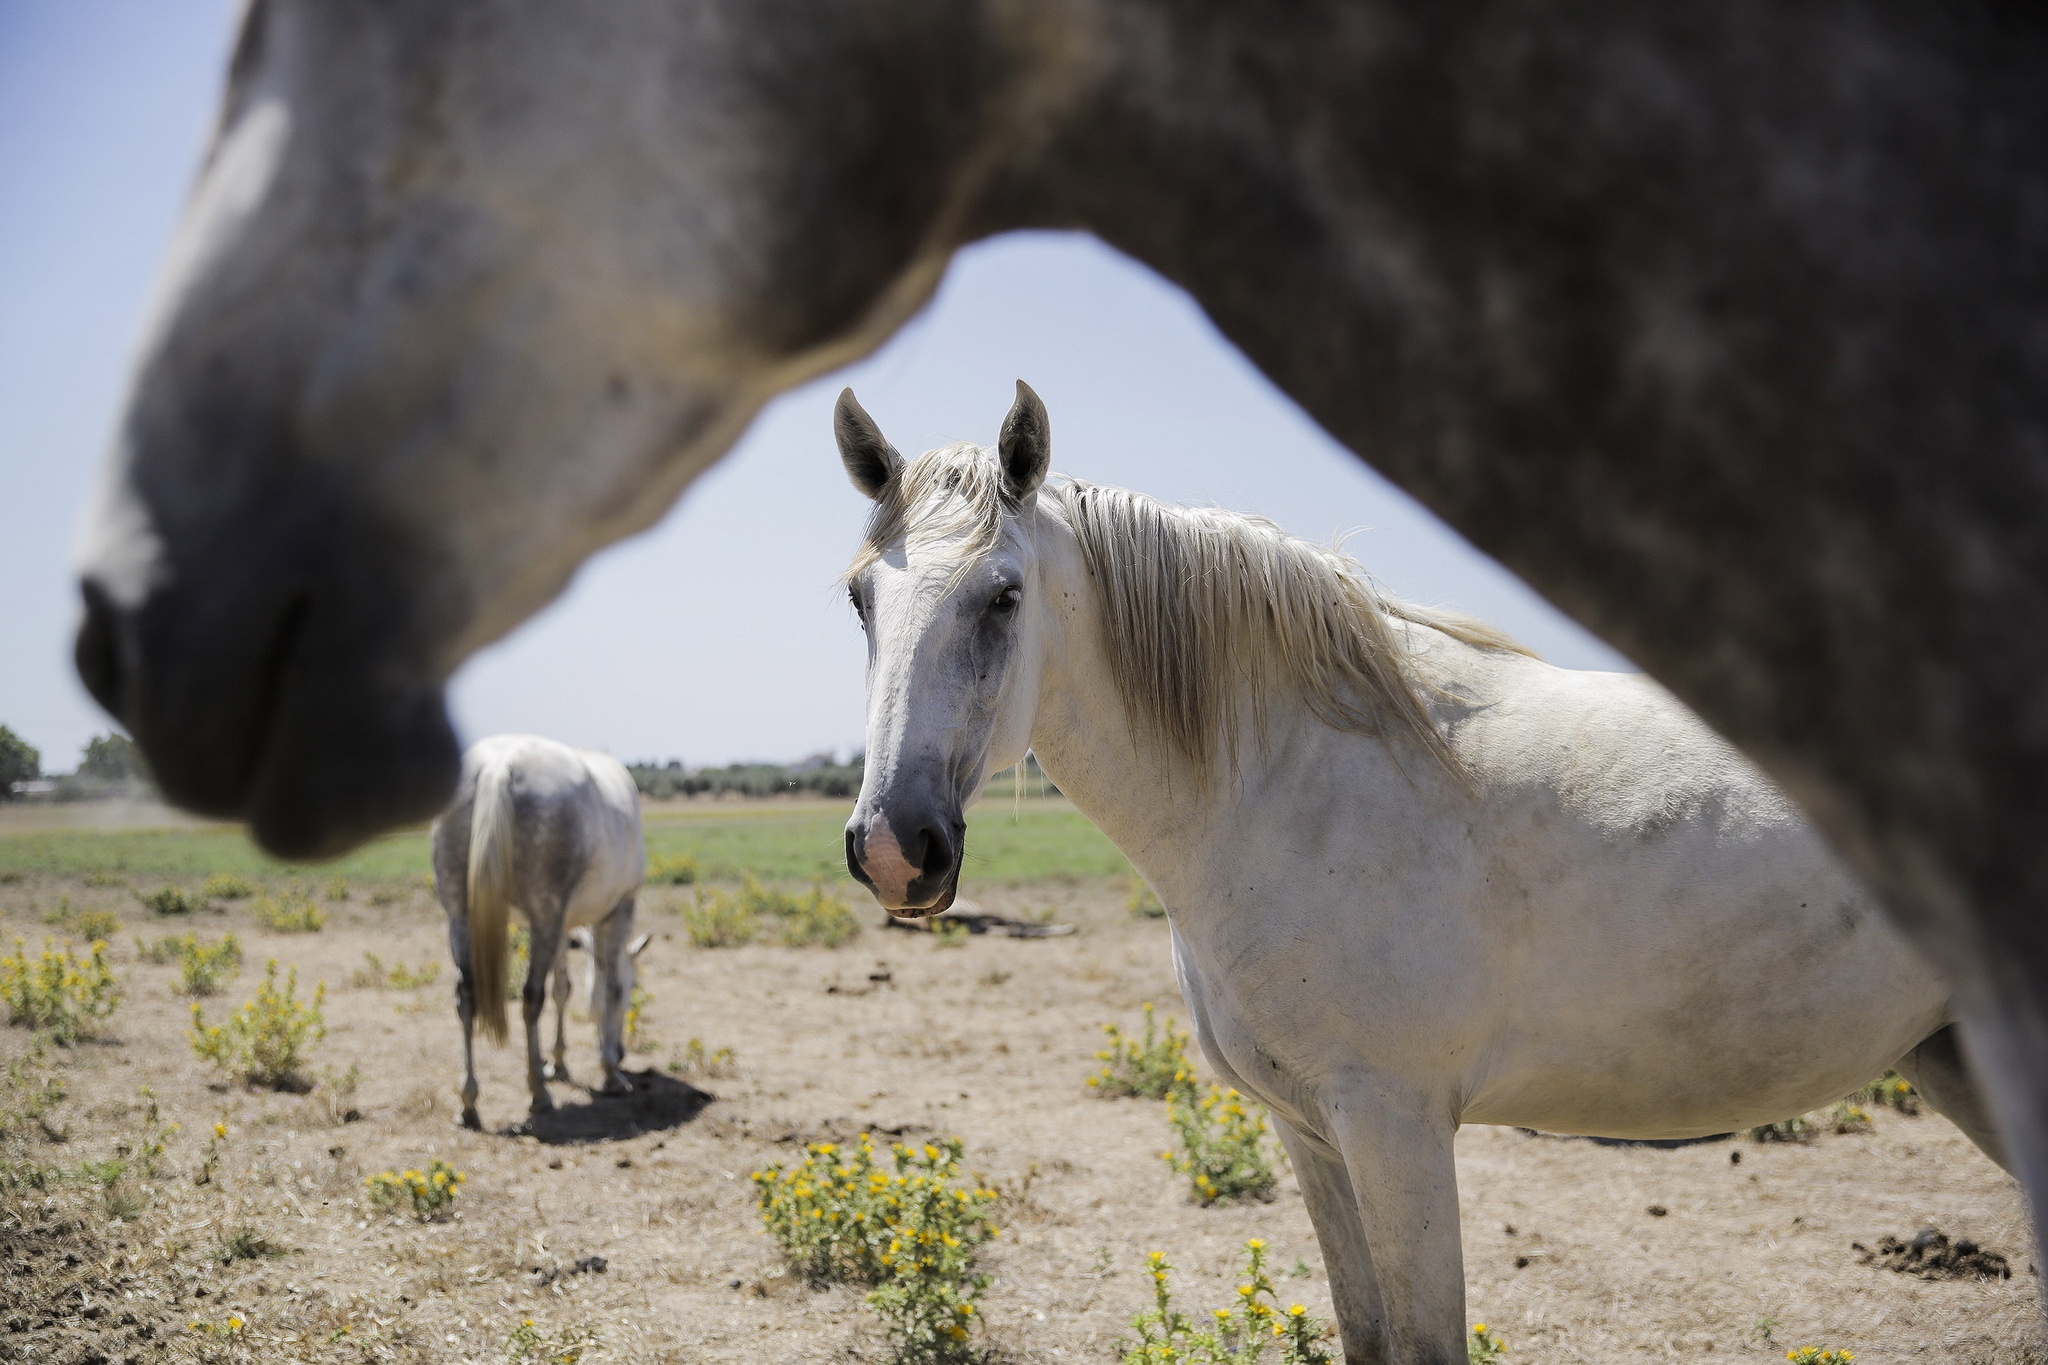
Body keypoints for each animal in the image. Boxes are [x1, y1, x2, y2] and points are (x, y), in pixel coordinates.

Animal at [421, 736, 630, 1129]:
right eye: (633, 993)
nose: (623, 1052)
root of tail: (499, 765)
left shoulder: (562, 926)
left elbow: (565, 988)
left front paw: (558, 1061)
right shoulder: (619, 909)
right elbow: (608, 988)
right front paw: (610, 1071)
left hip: (461, 916)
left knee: (465, 995)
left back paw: (469, 1103)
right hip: (546, 915)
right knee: (532, 997)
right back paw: (538, 1093)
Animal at [827, 382, 1998, 1365]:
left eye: (1003, 596)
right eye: (859, 600)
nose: (894, 847)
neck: (1297, 781)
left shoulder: (1396, 1127)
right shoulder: (1310, 1130)